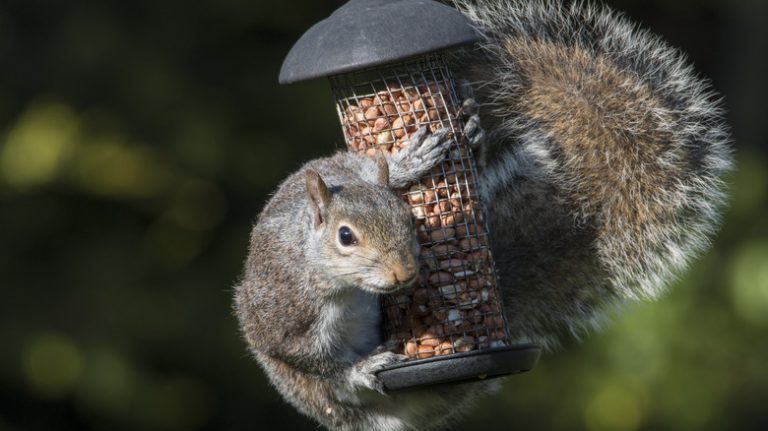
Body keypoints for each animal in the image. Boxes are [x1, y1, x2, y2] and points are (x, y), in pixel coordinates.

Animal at [232, 0, 732, 431]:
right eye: (345, 237)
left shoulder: (344, 168)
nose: (403, 274)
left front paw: (410, 160)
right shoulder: (286, 314)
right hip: (313, 394)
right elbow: (315, 360)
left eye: (408, 220)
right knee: (335, 391)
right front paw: (361, 367)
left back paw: (469, 134)